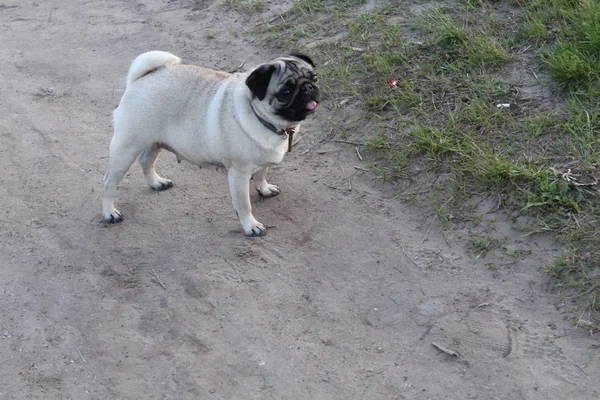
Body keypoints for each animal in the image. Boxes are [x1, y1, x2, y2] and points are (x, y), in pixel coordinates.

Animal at [102, 51, 318, 236]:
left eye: (314, 77)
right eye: (286, 91)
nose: (308, 87)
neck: (261, 116)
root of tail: (142, 78)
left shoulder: (263, 159)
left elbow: (261, 175)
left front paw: (264, 189)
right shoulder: (239, 173)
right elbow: (244, 204)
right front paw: (251, 226)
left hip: (155, 141)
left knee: (146, 162)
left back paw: (156, 182)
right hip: (126, 149)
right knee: (108, 183)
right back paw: (109, 212)